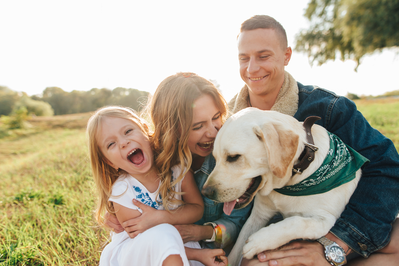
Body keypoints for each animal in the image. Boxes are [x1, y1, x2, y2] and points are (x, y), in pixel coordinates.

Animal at [203, 107, 368, 264]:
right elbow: (237, 249)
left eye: (233, 157)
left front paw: (260, 241)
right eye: (215, 158)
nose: (206, 192)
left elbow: (296, 222)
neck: (291, 182)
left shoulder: (325, 219)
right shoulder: (259, 214)